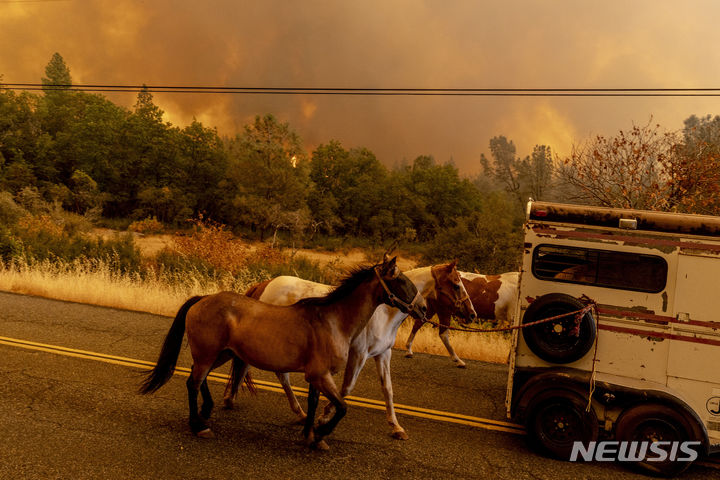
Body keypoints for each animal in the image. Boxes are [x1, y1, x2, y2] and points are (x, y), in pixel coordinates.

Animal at [138, 256, 424, 448]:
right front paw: (321, 434)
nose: (421, 308)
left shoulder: (317, 376)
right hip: (208, 354)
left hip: (220, 354)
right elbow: (342, 407)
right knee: (193, 383)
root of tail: (203, 298)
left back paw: (206, 411)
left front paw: (310, 435)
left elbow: (314, 403)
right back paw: (198, 425)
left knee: (199, 379)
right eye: (401, 280)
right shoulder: (320, 375)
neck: (333, 320)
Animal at [222, 260, 476, 440]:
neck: (384, 313)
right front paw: (324, 417)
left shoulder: (382, 354)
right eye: (456, 284)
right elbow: (346, 388)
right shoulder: (359, 354)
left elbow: (388, 389)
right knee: (265, 370)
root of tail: (264, 284)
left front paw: (396, 427)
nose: (472, 314)